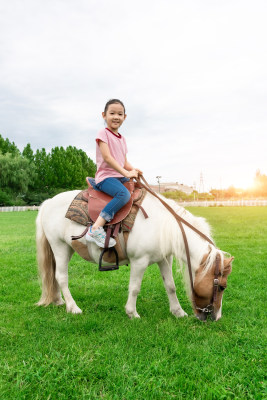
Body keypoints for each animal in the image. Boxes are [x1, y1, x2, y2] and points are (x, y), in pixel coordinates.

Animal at [36, 190, 234, 322]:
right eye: (222, 287)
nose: (216, 317)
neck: (162, 225)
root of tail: (48, 203)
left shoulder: (164, 259)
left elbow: (170, 286)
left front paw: (178, 312)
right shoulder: (140, 261)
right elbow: (134, 288)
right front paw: (132, 313)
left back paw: (58, 300)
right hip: (59, 246)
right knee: (61, 277)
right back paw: (73, 307)